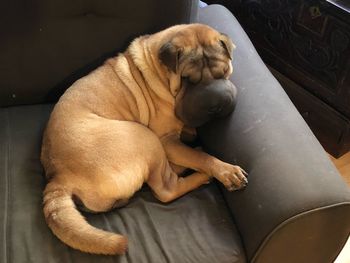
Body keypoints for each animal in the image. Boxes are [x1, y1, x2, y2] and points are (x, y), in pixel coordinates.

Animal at [41, 24, 247, 256]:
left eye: (224, 73)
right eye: (187, 79)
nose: (215, 105)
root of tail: (59, 177)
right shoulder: (166, 141)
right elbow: (200, 157)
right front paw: (225, 170)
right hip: (146, 139)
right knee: (167, 188)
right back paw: (201, 174)